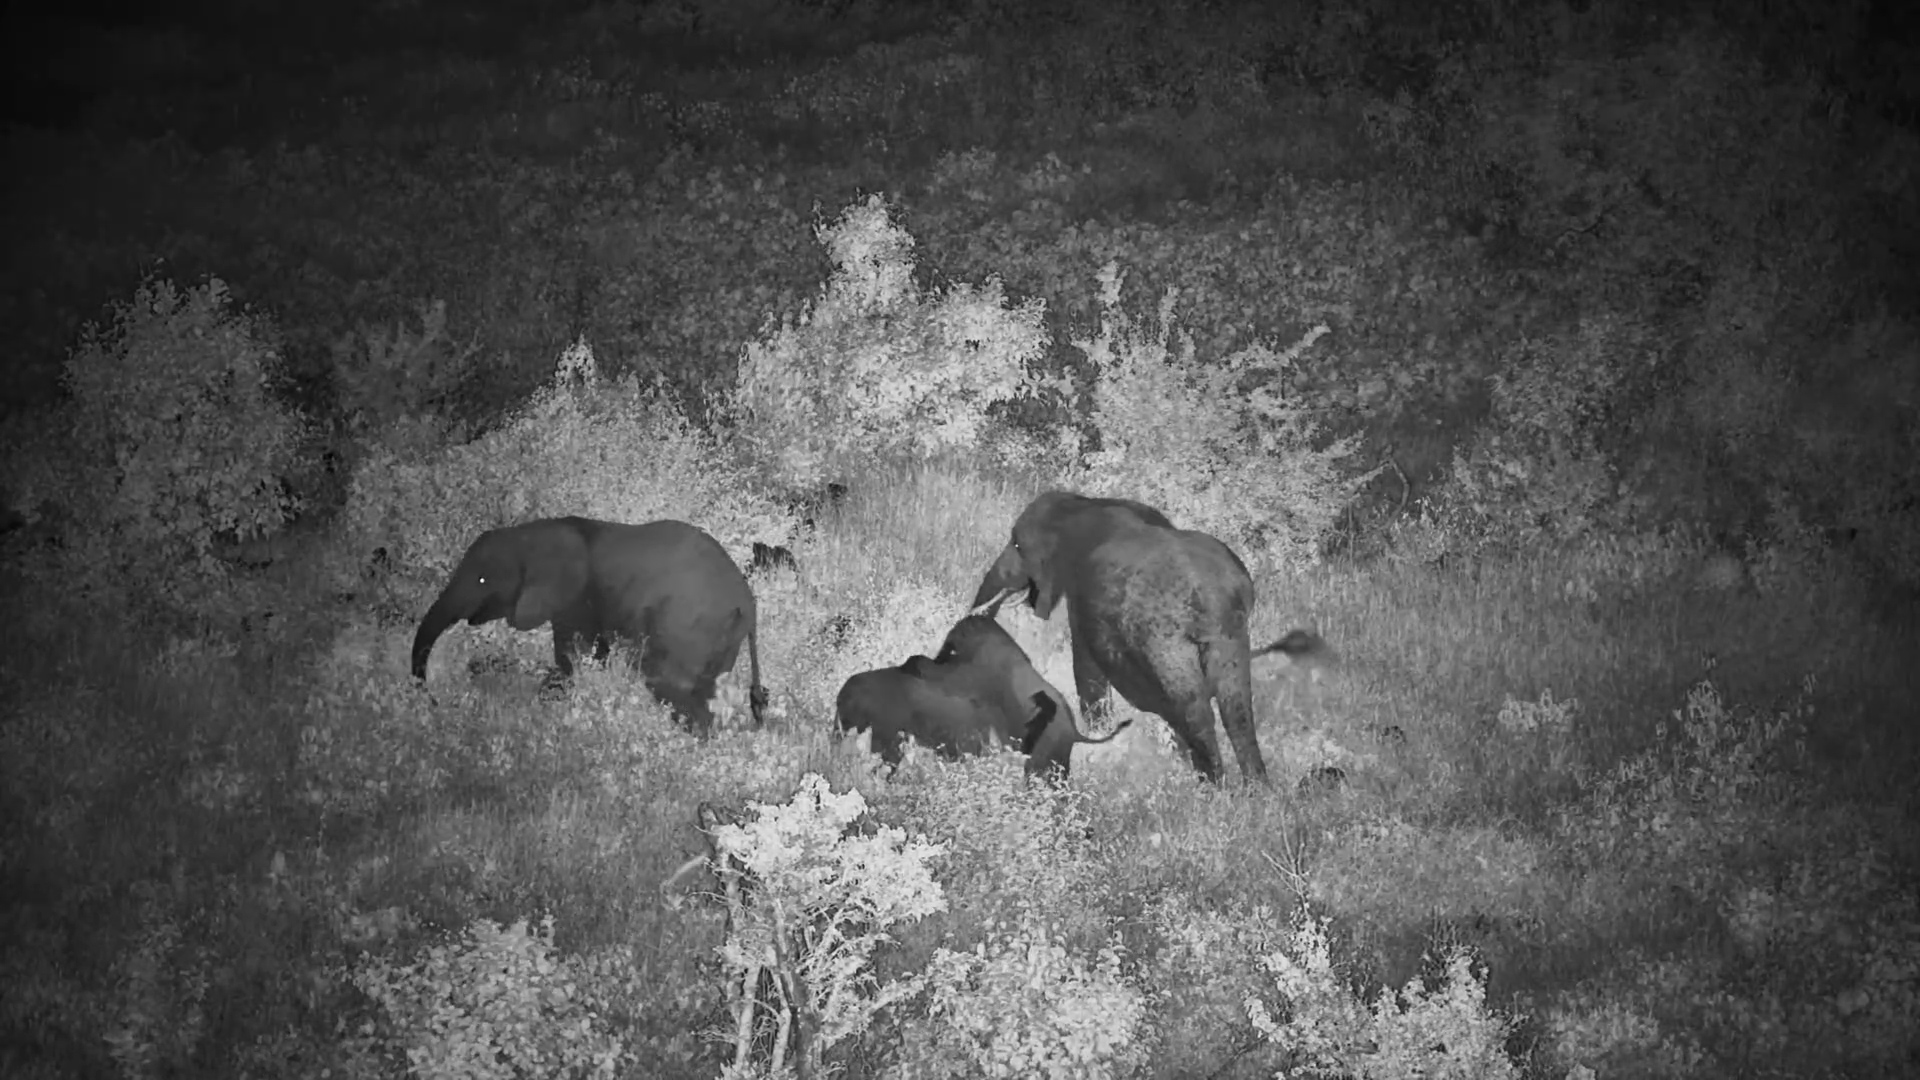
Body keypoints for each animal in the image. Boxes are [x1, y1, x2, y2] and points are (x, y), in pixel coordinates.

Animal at [412, 517, 767, 734]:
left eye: (483, 579)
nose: (434, 702)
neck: (537, 530)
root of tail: (747, 603)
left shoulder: (576, 597)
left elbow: (571, 657)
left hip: (688, 628)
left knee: (670, 686)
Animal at [972, 490, 1331, 784]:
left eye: (1017, 545)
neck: (1084, 504)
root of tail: (1208, 596)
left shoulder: (1081, 598)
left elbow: (1087, 669)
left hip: (1164, 638)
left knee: (1194, 706)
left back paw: (1213, 786)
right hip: (1230, 634)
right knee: (1236, 707)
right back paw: (1253, 790)